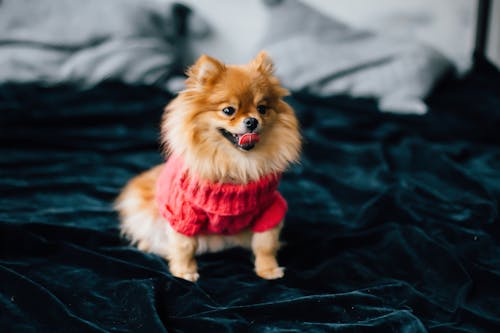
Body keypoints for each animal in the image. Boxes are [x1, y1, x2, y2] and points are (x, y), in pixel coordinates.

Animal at [114, 52, 300, 280]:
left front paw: (268, 269)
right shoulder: (183, 213)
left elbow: (265, 243)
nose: (252, 121)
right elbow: (184, 246)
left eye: (262, 109)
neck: (237, 164)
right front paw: (184, 271)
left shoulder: (269, 209)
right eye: (228, 110)